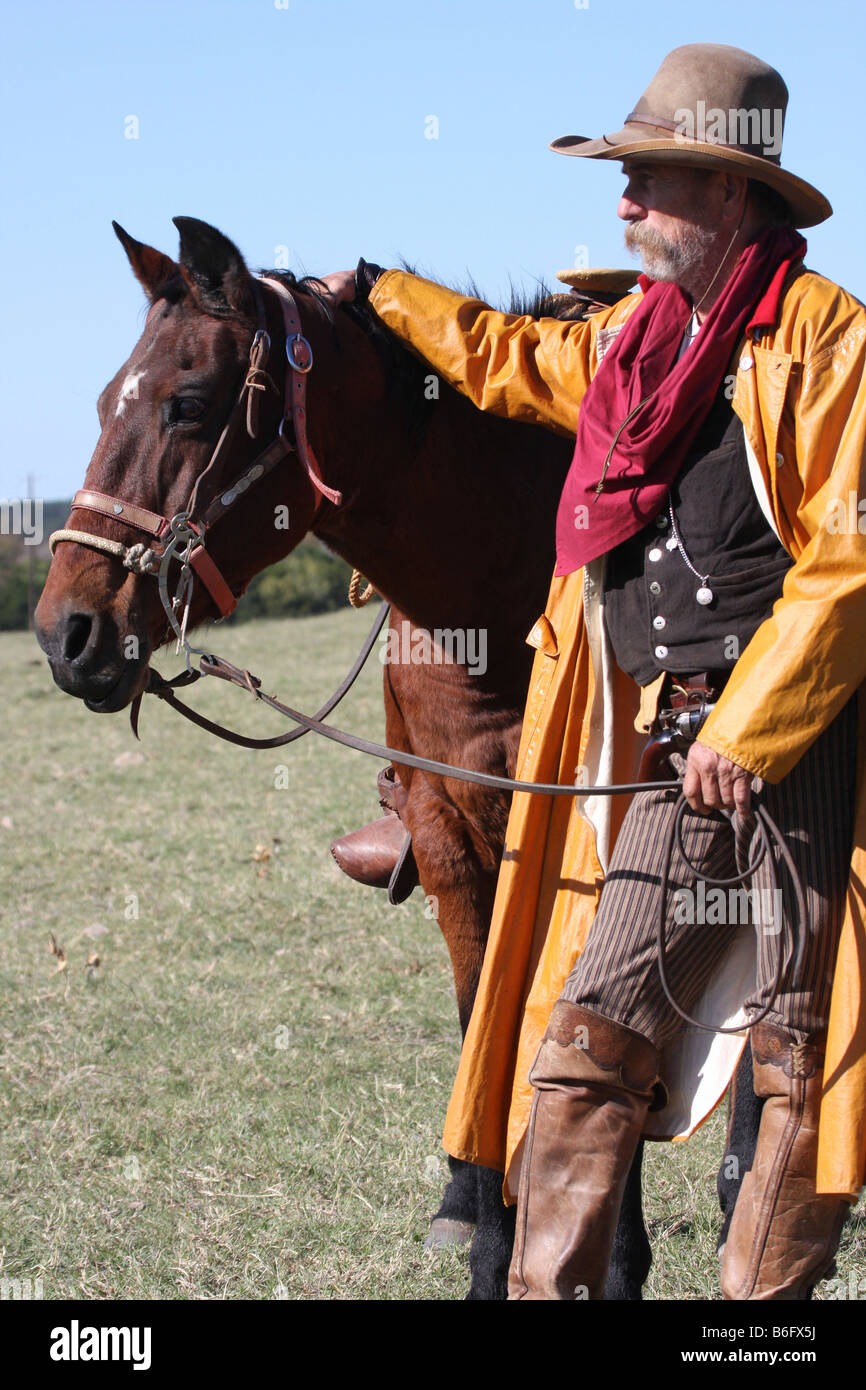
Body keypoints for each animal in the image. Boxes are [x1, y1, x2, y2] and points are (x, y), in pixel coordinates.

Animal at [35, 216, 750, 1301]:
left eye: (187, 405)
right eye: (107, 396)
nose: (66, 631)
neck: (497, 605)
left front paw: (607, 1252)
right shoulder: (454, 841)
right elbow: (480, 1026)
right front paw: (491, 1236)